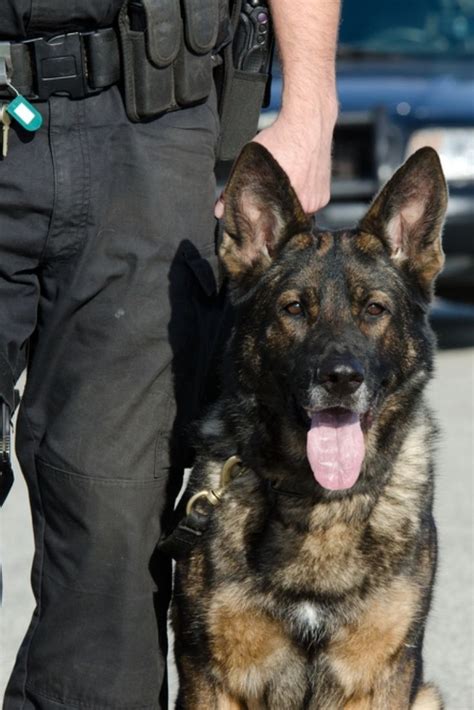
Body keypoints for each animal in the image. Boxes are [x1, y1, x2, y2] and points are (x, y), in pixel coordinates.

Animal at [171, 142, 448, 708]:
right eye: (294, 308)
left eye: (374, 309)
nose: (340, 378)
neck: (317, 503)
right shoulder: (211, 676)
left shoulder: (383, 677)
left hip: (427, 695)